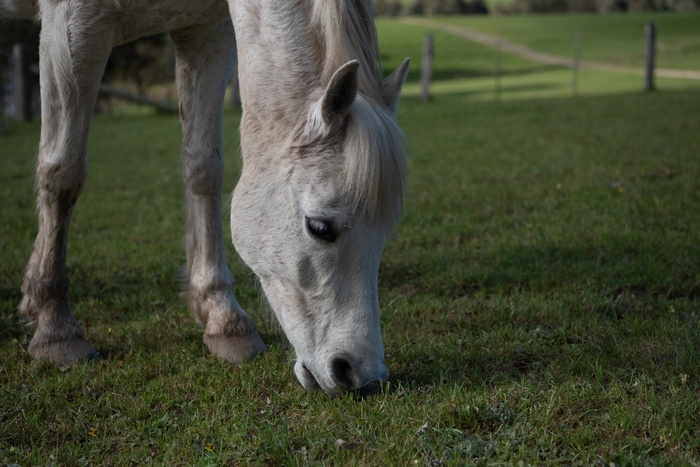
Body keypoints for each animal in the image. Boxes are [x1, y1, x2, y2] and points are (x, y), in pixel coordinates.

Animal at [2, 0, 409, 396]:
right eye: (320, 227)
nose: (362, 376)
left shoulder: (205, 33)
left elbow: (203, 168)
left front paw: (222, 316)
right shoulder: (71, 27)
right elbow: (63, 173)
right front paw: (55, 327)